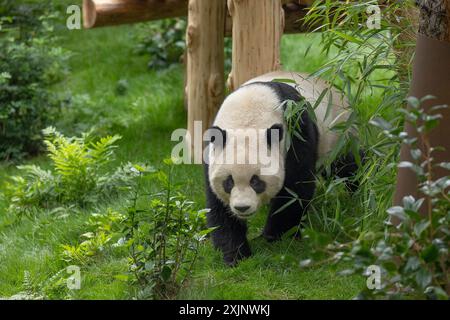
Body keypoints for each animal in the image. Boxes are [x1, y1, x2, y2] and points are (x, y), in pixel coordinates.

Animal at [206, 71, 356, 266]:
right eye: (229, 182)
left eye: (256, 182)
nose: (242, 208)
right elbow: (219, 207)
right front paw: (235, 255)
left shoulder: (296, 129)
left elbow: (294, 189)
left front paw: (276, 237)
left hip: (338, 136)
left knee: (347, 166)